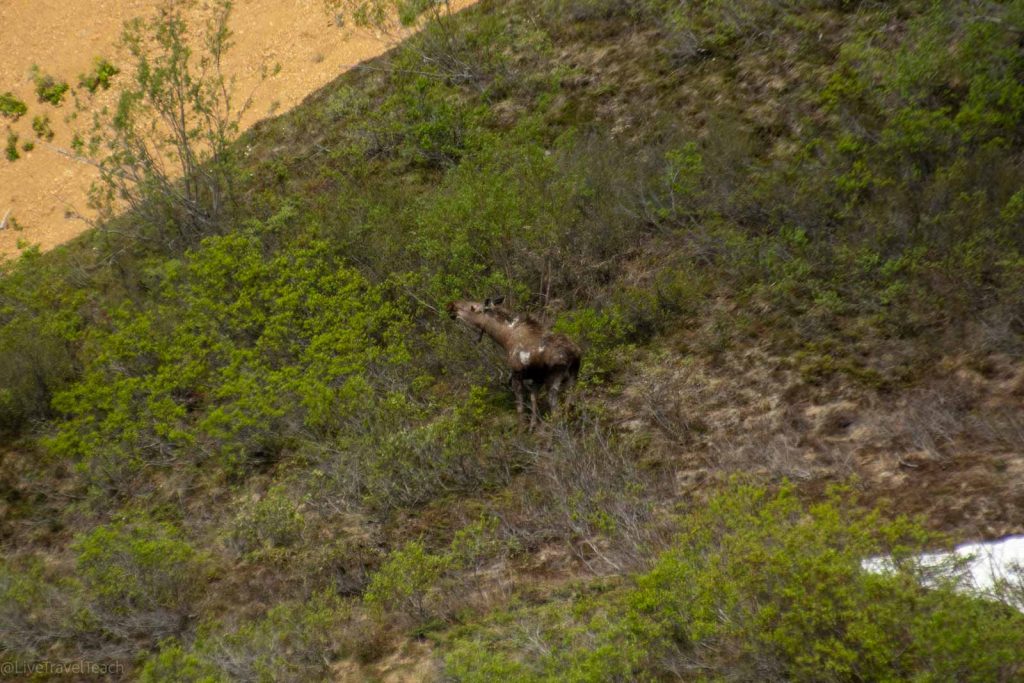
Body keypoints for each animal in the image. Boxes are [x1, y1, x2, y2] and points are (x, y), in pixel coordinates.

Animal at [447, 297, 582, 429]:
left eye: (473, 307)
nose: (452, 305)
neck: (504, 338)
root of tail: (574, 354)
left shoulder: (517, 374)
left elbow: (520, 407)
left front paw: (522, 429)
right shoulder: (536, 379)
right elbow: (533, 400)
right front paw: (533, 426)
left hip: (553, 379)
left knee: (557, 412)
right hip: (573, 378)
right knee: (570, 406)